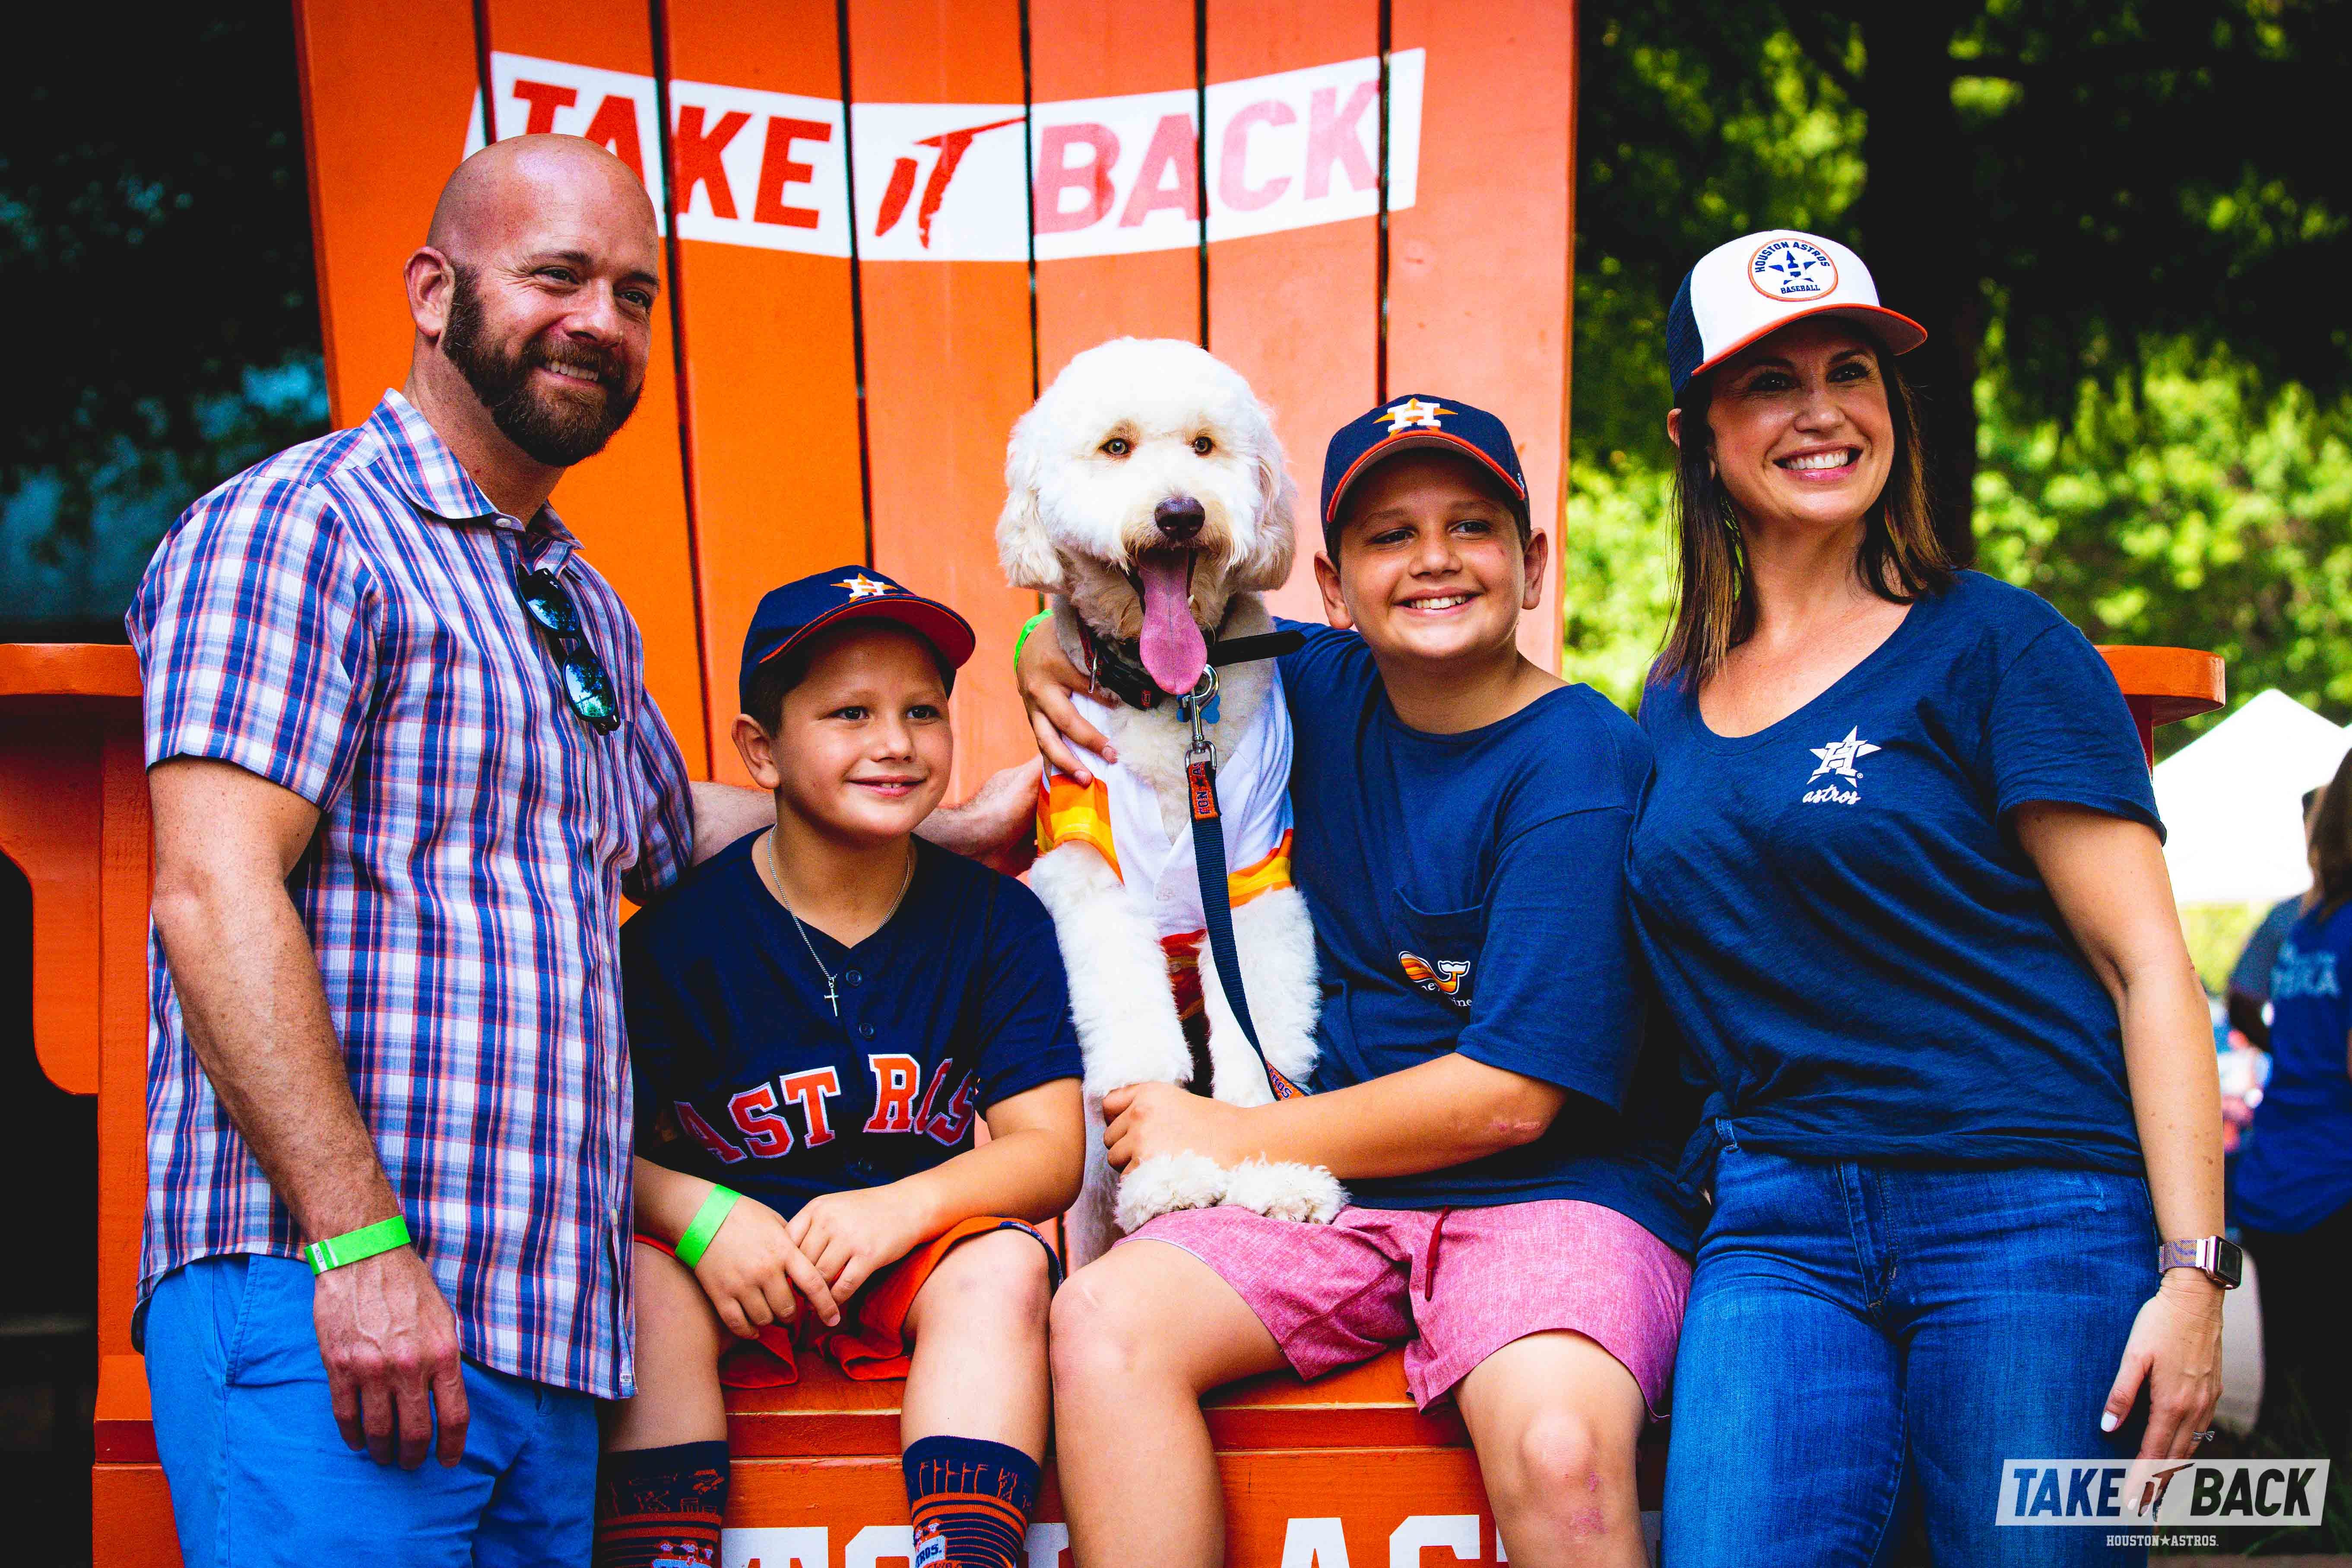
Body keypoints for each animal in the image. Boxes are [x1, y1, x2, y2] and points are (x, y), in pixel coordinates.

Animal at [1002, 338, 1354, 1269]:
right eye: (1116, 447)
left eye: (1204, 445)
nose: (1179, 514)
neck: (1170, 700)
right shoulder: (1091, 885)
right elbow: (1135, 1035)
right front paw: (1168, 1175)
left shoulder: (1253, 880)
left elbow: (1259, 1035)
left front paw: (1273, 1175)